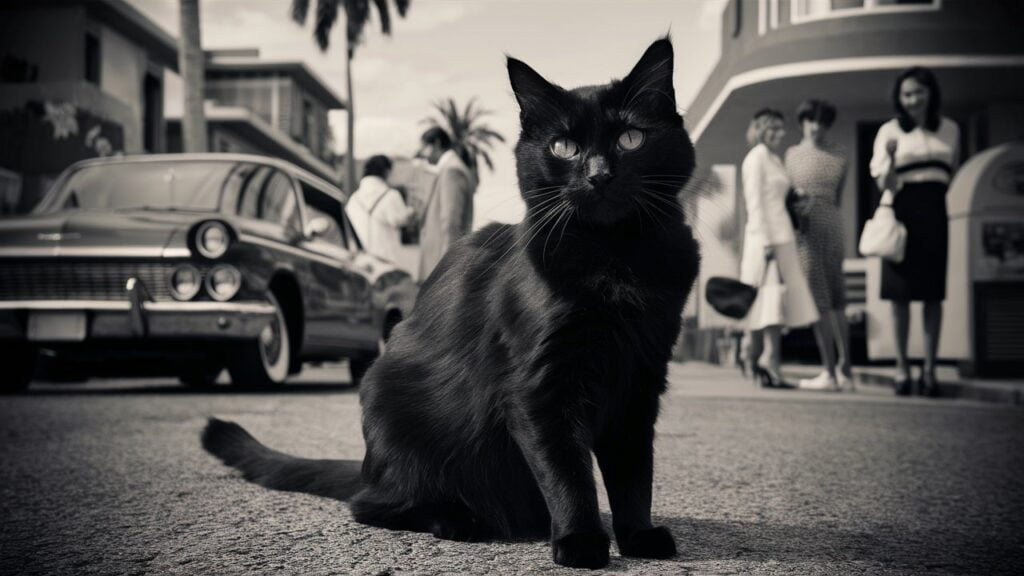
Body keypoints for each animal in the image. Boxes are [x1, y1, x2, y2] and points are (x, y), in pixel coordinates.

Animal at [205, 36, 704, 569]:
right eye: (564, 147)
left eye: (631, 139)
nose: (599, 176)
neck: (615, 262)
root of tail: (368, 469)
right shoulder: (540, 387)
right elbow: (568, 473)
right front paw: (581, 541)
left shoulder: (639, 380)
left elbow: (634, 474)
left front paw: (638, 535)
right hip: (392, 408)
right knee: (373, 506)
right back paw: (461, 519)